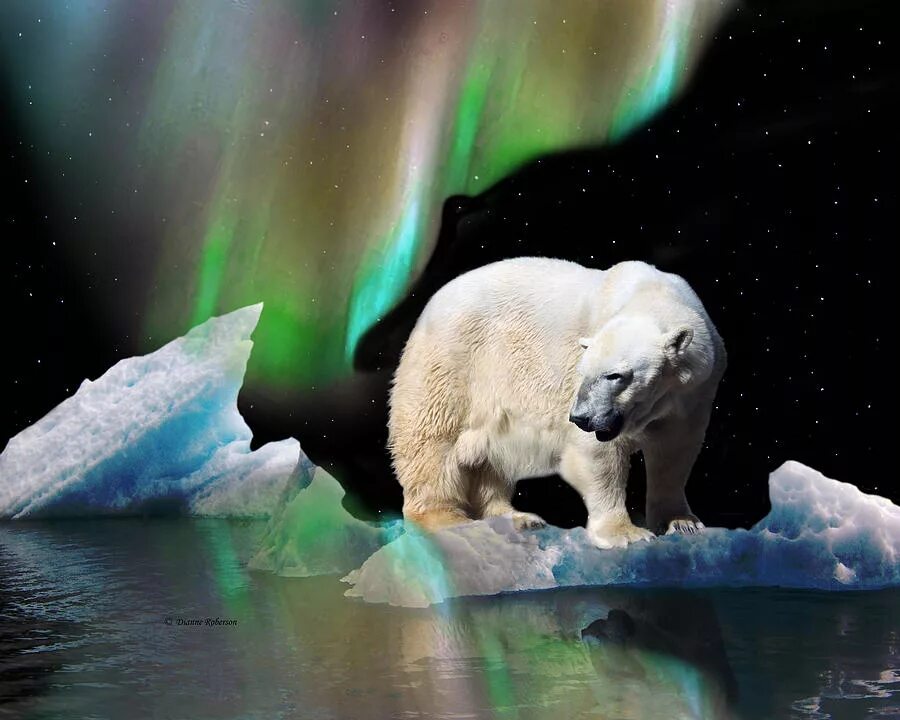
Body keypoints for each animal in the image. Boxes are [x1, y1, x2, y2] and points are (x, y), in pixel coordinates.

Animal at [388, 257, 726, 548]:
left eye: (616, 375)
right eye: (584, 373)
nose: (581, 417)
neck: (653, 294)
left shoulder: (694, 393)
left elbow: (674, 452)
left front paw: (681, 522)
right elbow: (597, 455)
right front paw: (626, 533)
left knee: (488, 459)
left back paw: (517, 518)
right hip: (454, 362)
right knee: (433, 442)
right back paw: (447, 519)